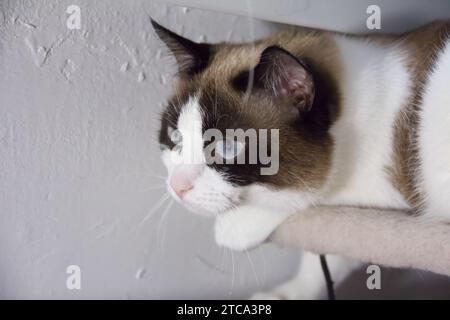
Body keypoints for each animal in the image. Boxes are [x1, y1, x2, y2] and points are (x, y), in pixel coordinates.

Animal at [151, 18, 450, 300]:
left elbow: (310, 197)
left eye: (227, 147)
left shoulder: (396, 191)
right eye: (175, 137)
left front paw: (234, 226)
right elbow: (322, 262)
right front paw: (285, 295)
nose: (177, 187)